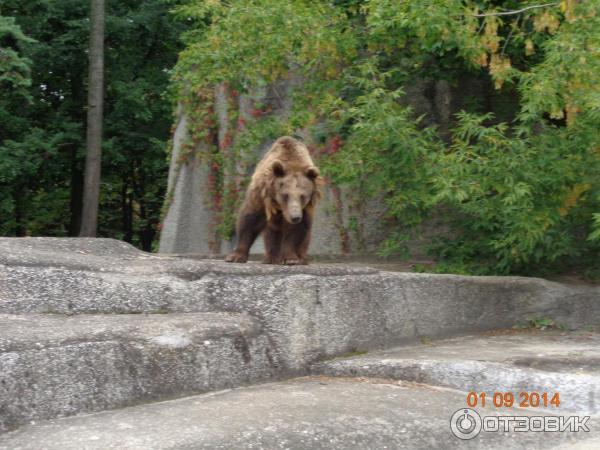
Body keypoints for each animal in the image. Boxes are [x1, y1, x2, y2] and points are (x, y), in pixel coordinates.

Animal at [224, 135, 322, 266]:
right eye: (285, 195)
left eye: (303, 196)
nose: (295, 217)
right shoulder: (261, 197)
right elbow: (249, 221)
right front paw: (235, 256)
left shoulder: (305, 209)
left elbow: (295, 231)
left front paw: (290, 258)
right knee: (271, 234)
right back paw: (271, 258)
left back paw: (301, 258)